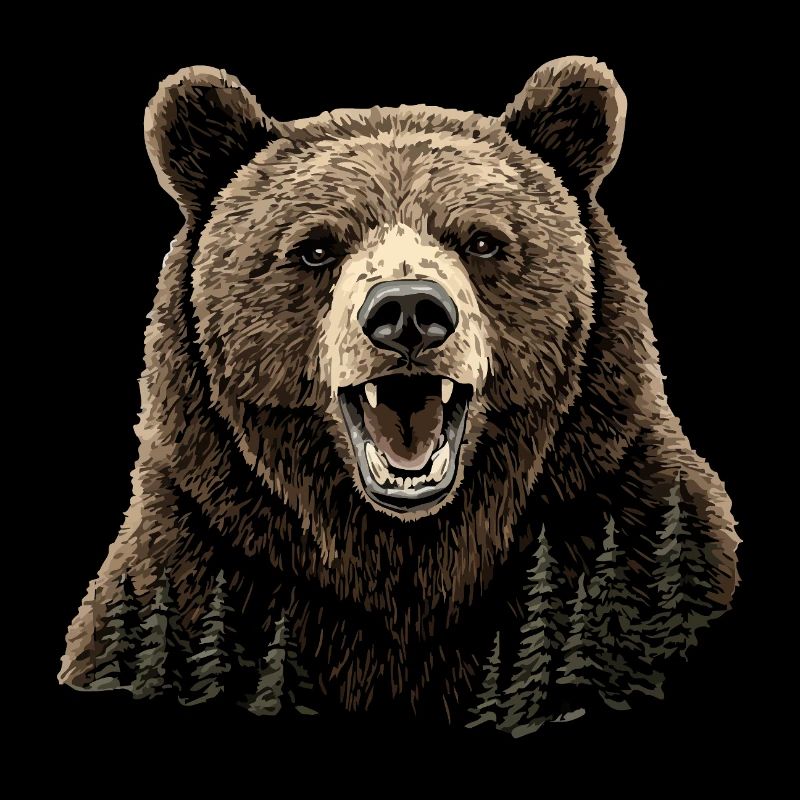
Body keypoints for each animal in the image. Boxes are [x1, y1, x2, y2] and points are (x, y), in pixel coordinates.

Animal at [59, 56, 739, 736]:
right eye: (314, 247)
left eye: (483, 240)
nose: (409, 311)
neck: (409, 560)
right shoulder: (206, 554)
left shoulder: (618, 518)